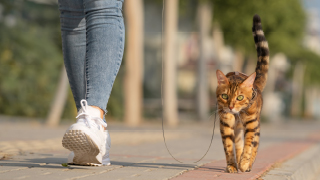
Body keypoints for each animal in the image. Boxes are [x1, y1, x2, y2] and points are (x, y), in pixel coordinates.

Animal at [216, 14, 268, 173]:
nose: (231, 106)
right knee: (238, 143)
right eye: (225, 96)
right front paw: (232, 165)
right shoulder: (225, 123)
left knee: (255, 144)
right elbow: (228, 147)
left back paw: (248, 165)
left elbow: (249, 145)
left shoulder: (251, 124)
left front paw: (245, 163)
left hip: (256, 124)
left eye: (240, 97)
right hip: (237, 129)